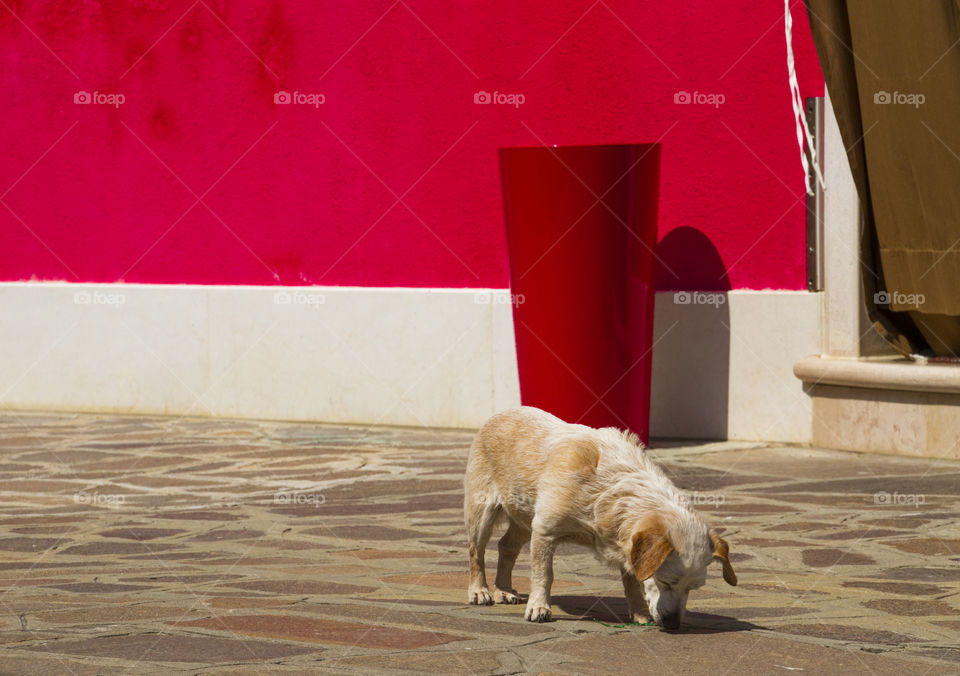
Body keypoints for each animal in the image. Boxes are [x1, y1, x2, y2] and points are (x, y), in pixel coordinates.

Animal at [464, 406, 736, 628]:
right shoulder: (544, 531)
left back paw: (503, 590)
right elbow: (543, 574)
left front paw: (639, 614)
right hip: (483, 512)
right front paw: (539, 607)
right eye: (666, 582)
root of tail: (499, 414)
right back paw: (479, 591)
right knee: (476, 551)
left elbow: (633, 583)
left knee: (506, 546)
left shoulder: (626, 543)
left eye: (693, 588)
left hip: (523, 518)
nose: (673, 624)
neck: (612, 487)